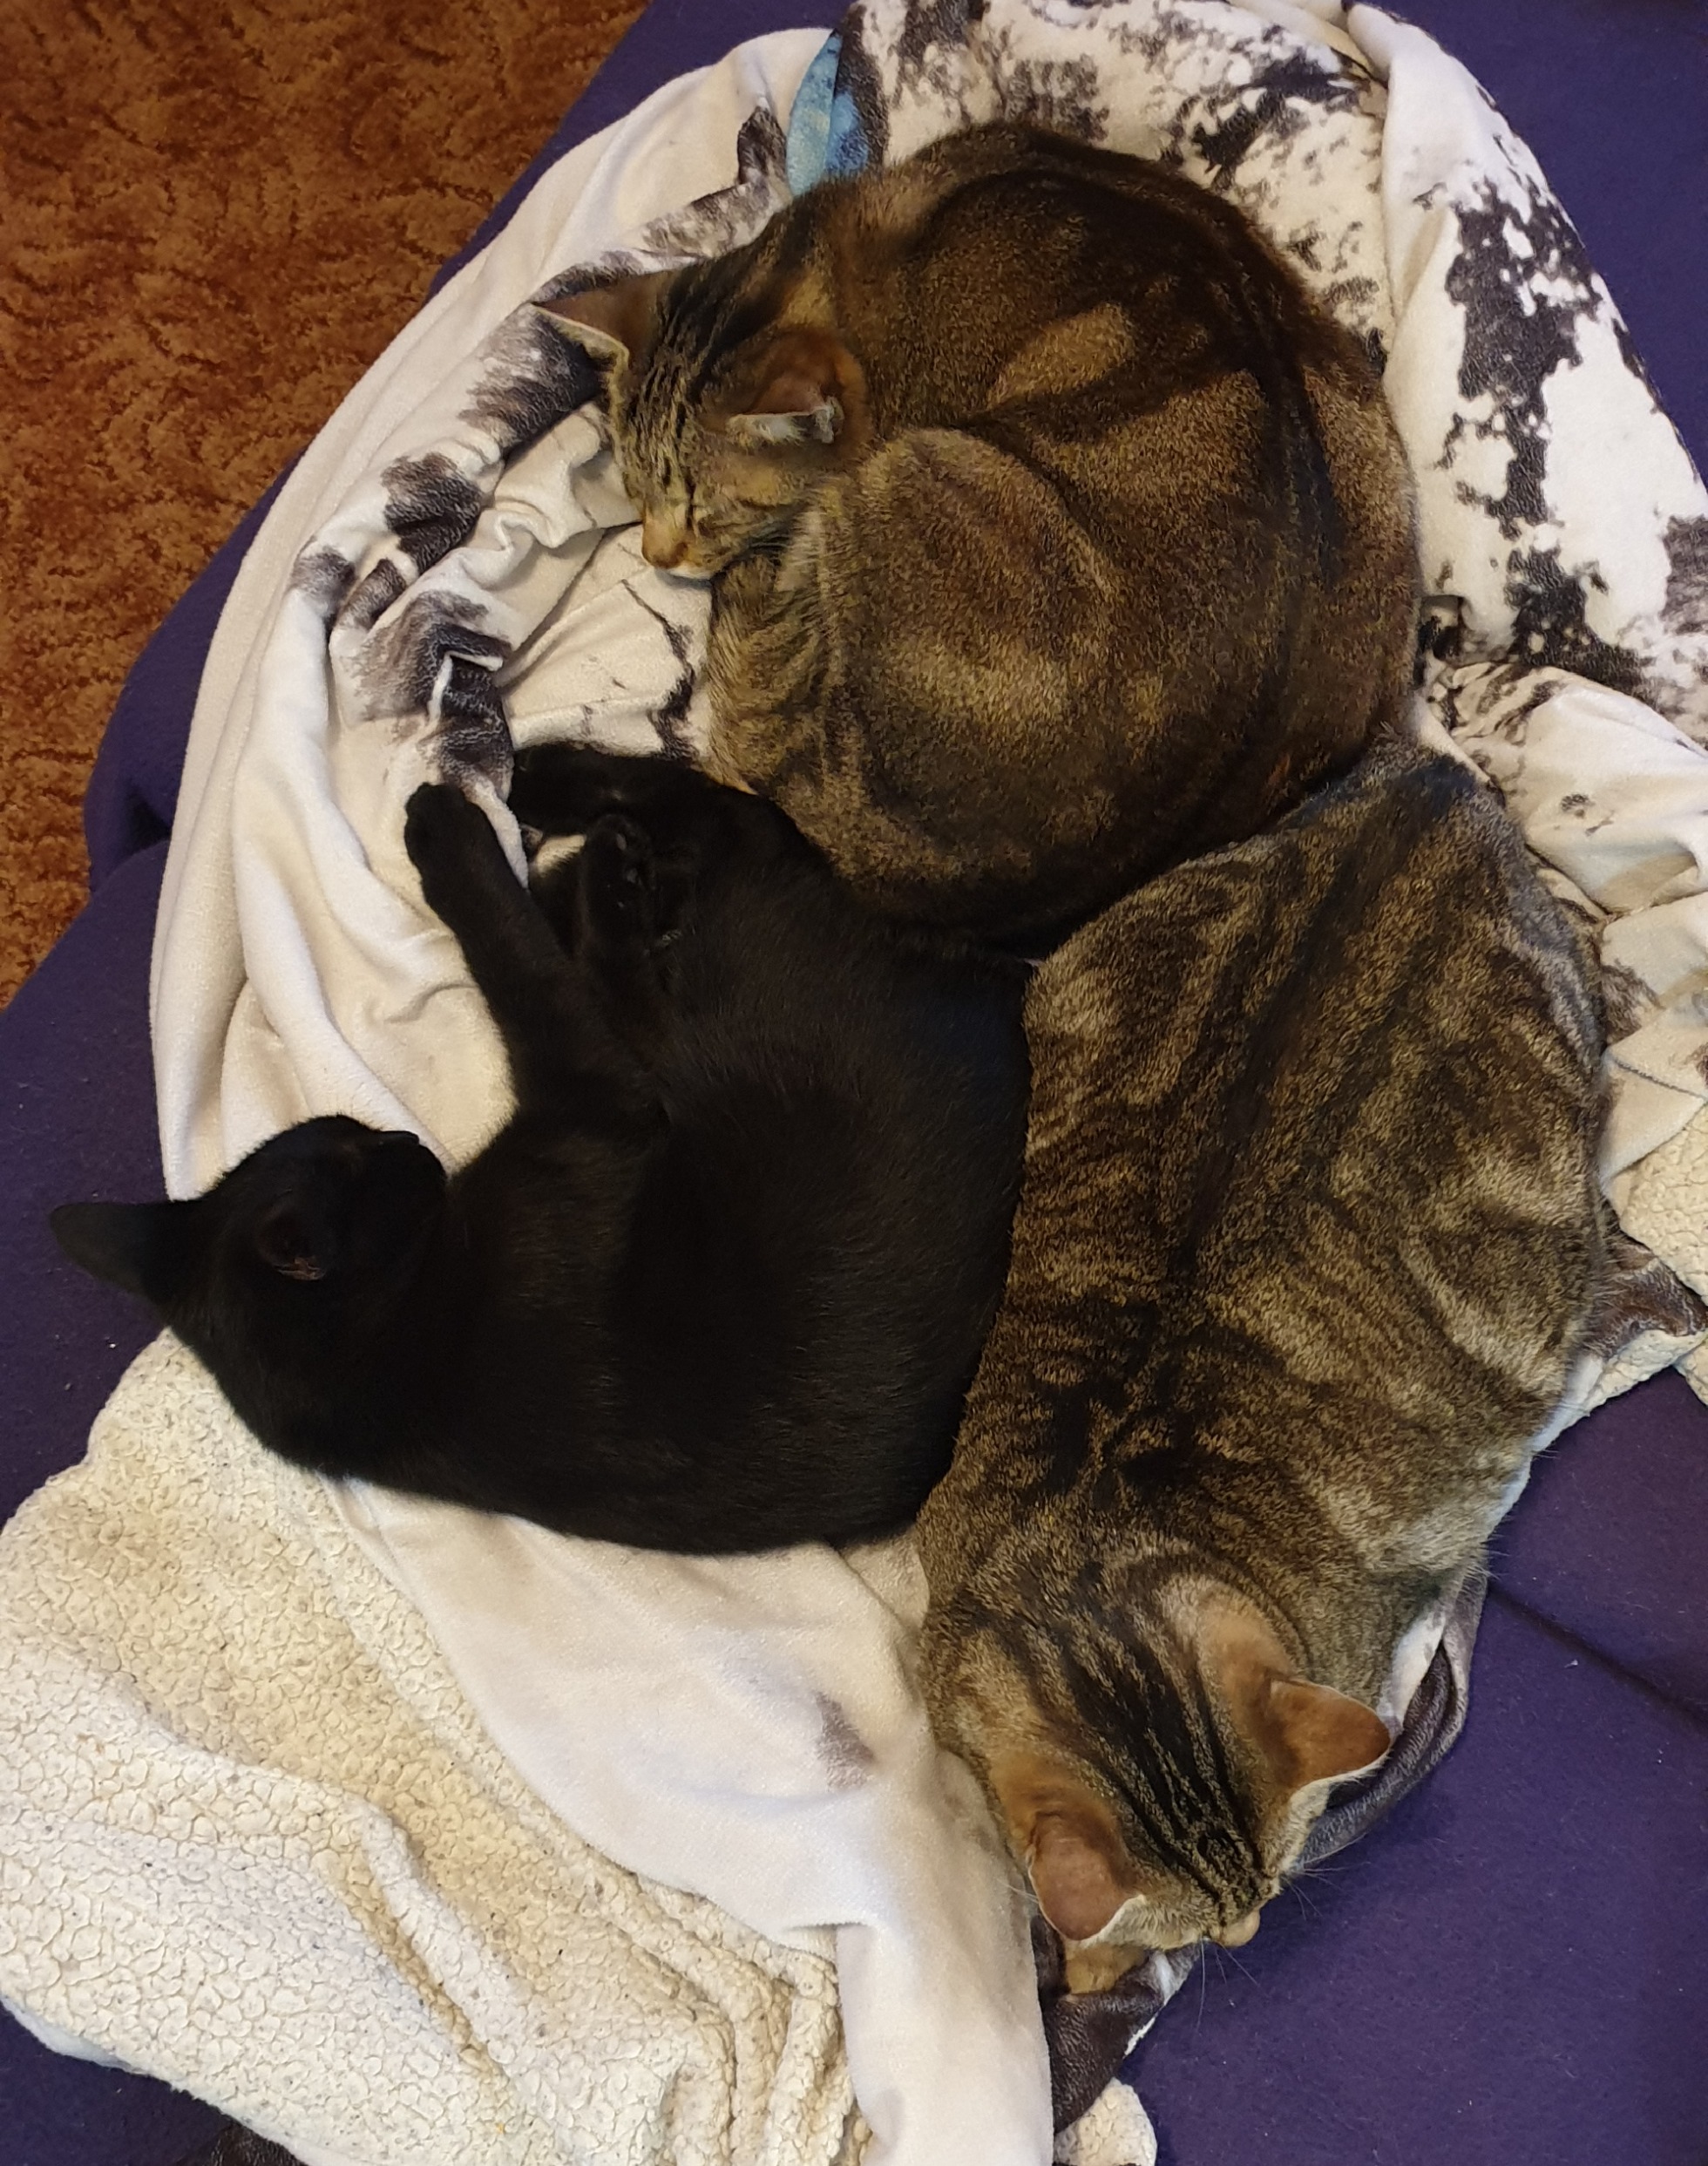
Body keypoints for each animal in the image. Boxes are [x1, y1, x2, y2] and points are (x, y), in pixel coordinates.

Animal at [52, 749, 1031, 1553]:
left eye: (352, 1136)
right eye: (363, 1160)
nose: (404, 1137)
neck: (389, 1345)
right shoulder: (601, 1093)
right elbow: (525, 966)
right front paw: (465, 845)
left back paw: (559, 809)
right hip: (730, 1000)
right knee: (715, 831)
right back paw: (582, 839)